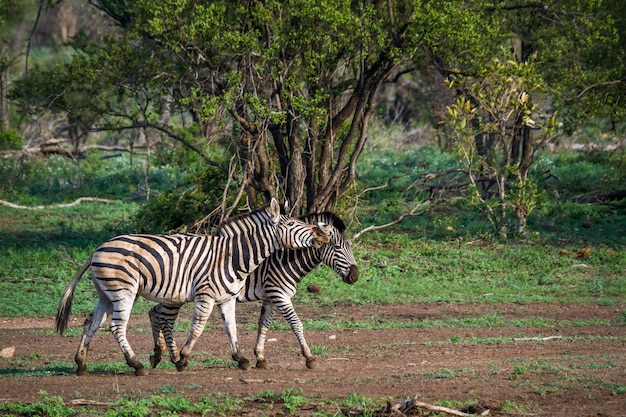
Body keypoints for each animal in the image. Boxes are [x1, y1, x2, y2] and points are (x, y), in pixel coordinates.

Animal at [54, 197, 330, 376]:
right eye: (292, 225)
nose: (323, 235)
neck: (234, 256)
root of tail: (98, 248)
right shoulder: (205, 295)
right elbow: (197, 328)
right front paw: (183, 359)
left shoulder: (226, 298)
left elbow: (232, 328)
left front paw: (240, 359)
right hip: (124, 292)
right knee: (117, 326)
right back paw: (137, 365)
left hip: (106, 294)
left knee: (92, 322)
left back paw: (81, 364)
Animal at [147, 211, 358, 368]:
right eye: (337, 247)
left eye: (349, 246)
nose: (355, 276)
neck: (282, 258)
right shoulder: (278, 293)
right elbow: (296, 323)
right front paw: (309, 357)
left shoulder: (270, 297)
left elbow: (263, 324)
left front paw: (260, 357)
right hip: (175, 293)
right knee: (164, 317)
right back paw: (172, 357)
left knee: (154, 312)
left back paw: (157, 354)